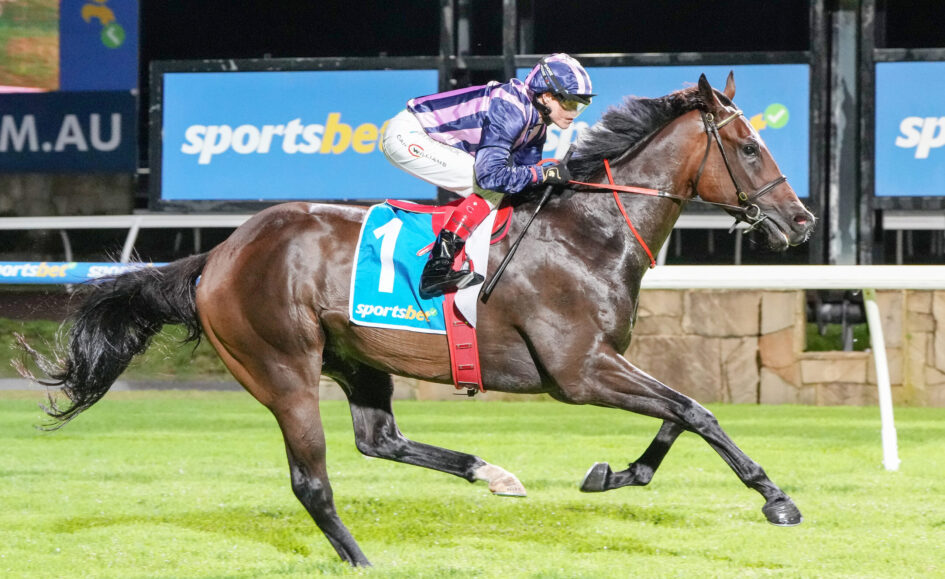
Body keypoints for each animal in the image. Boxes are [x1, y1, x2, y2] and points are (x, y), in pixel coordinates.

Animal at [18, 74, 814, 567]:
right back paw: (364, 558)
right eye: (749, 147)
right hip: (282, 367)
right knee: (313, 481)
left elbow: (680, 413)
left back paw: (490, 472)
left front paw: (615, 474)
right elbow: (696, 409)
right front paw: (775, 498)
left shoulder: (603, 365)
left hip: (358, 360)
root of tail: (217, 254)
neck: (588, 234)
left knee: (379, 441)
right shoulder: (580, 371)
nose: (801, 220)